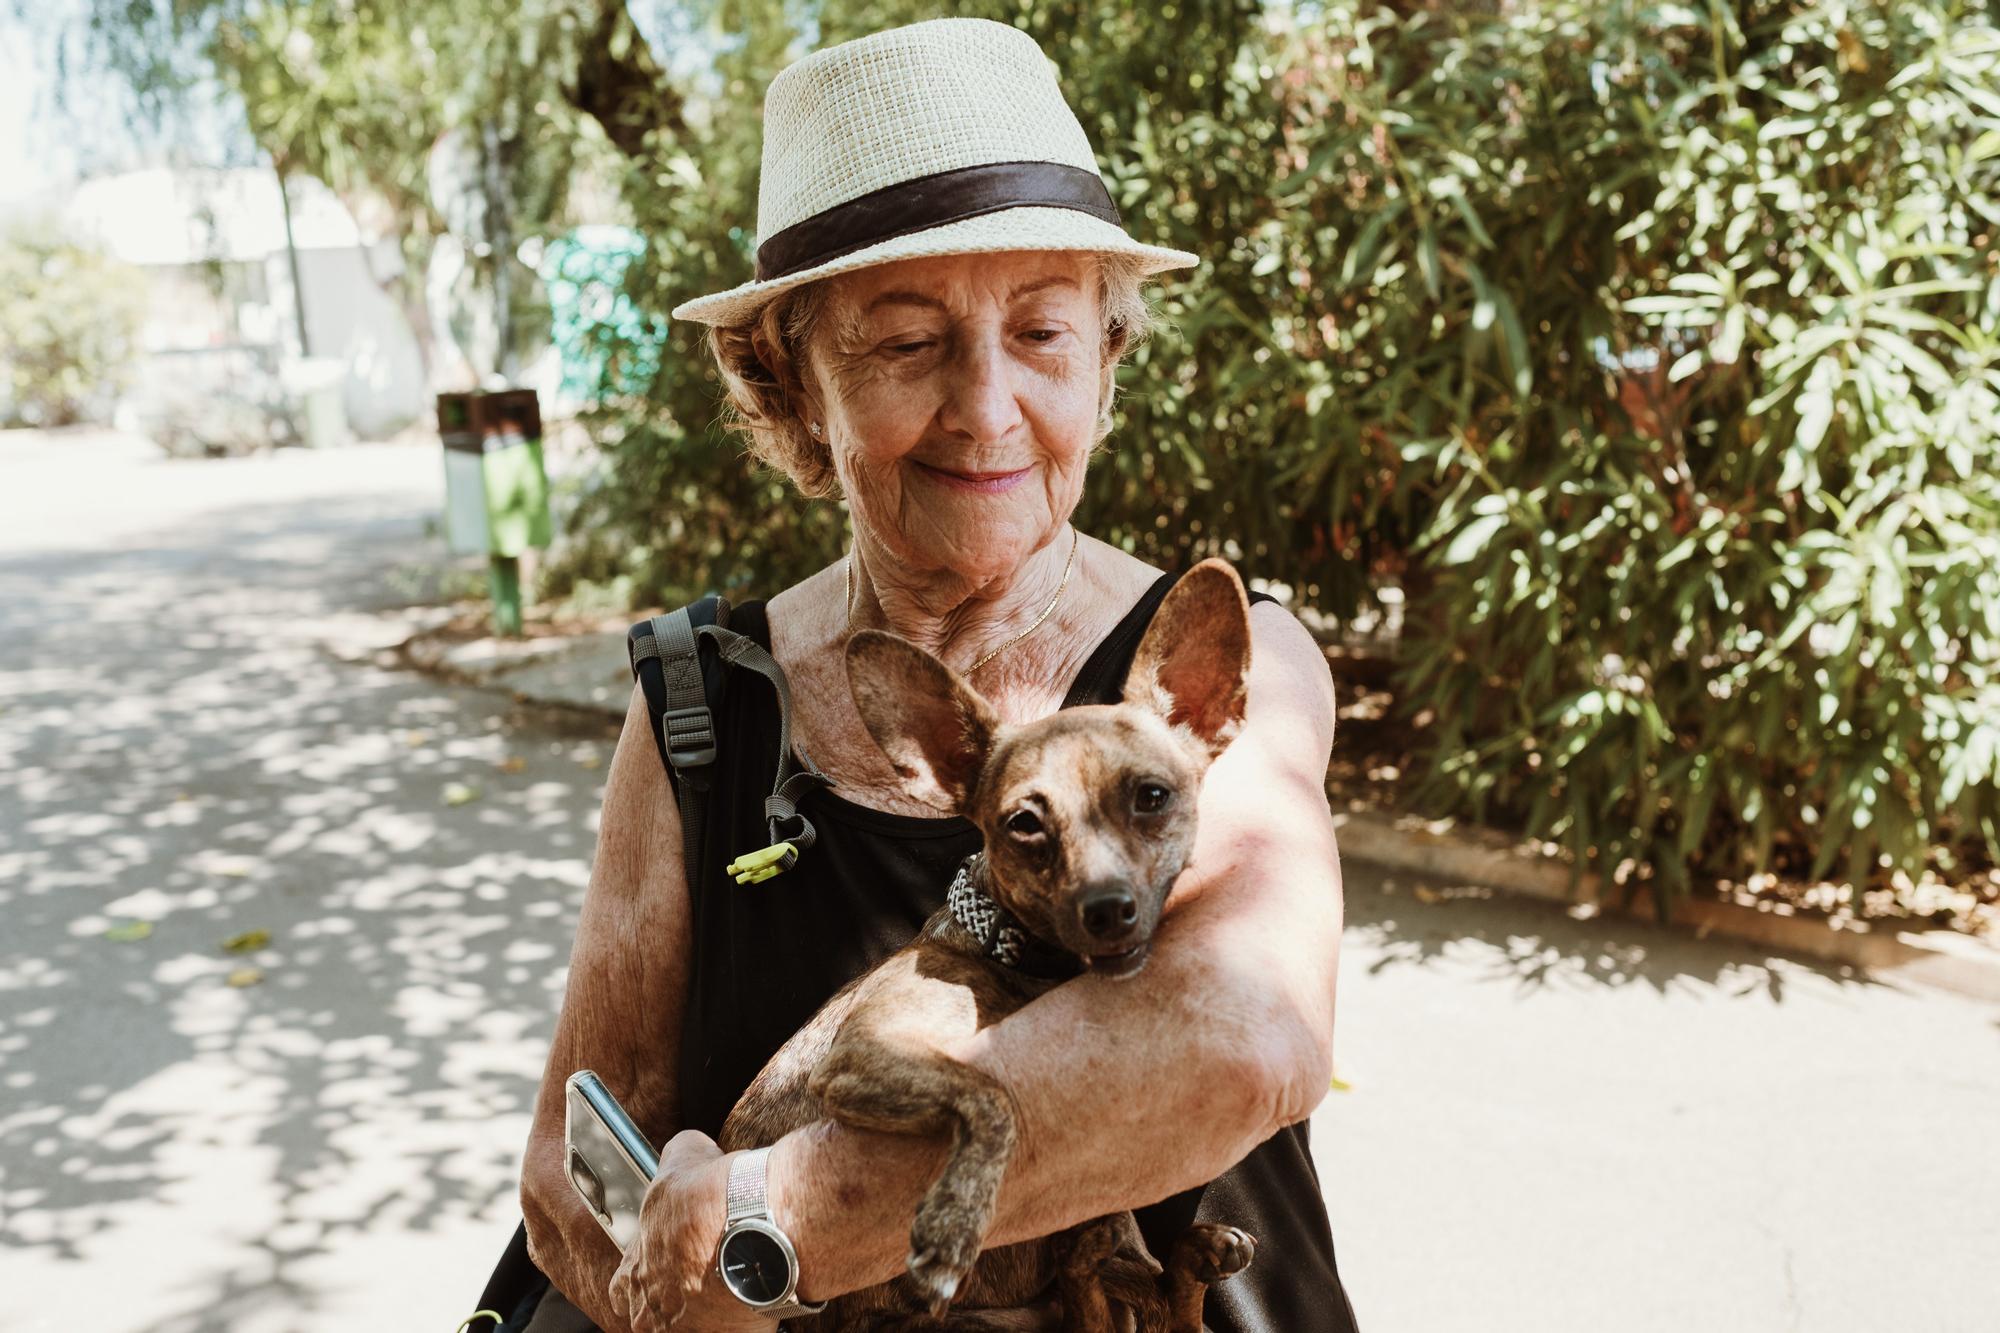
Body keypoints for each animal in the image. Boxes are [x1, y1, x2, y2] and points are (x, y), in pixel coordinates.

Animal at [716, 556, 1248, 1320]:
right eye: (1023, 824)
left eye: (1152, 797)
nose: (1108, 909)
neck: (1021, 964)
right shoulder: (862, 1057)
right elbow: (992, 1094)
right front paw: (952, 1224)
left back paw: (1182, 1261)